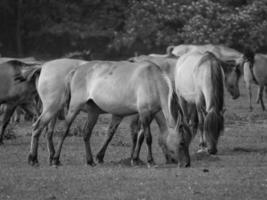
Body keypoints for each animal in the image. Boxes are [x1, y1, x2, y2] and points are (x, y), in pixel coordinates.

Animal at [33, 60, 192, 167]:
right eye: (182, 142)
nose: (187, 164)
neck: (153, 80)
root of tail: (76, 70)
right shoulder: (144, 113)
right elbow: (147, 137)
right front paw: (150, 161)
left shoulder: (142, 114)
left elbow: (129, 135)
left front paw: (134, 159)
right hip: (71, 108)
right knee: (61, 129)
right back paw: (49, 159)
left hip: (92, 112)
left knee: (85, 133)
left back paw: (89, 161)